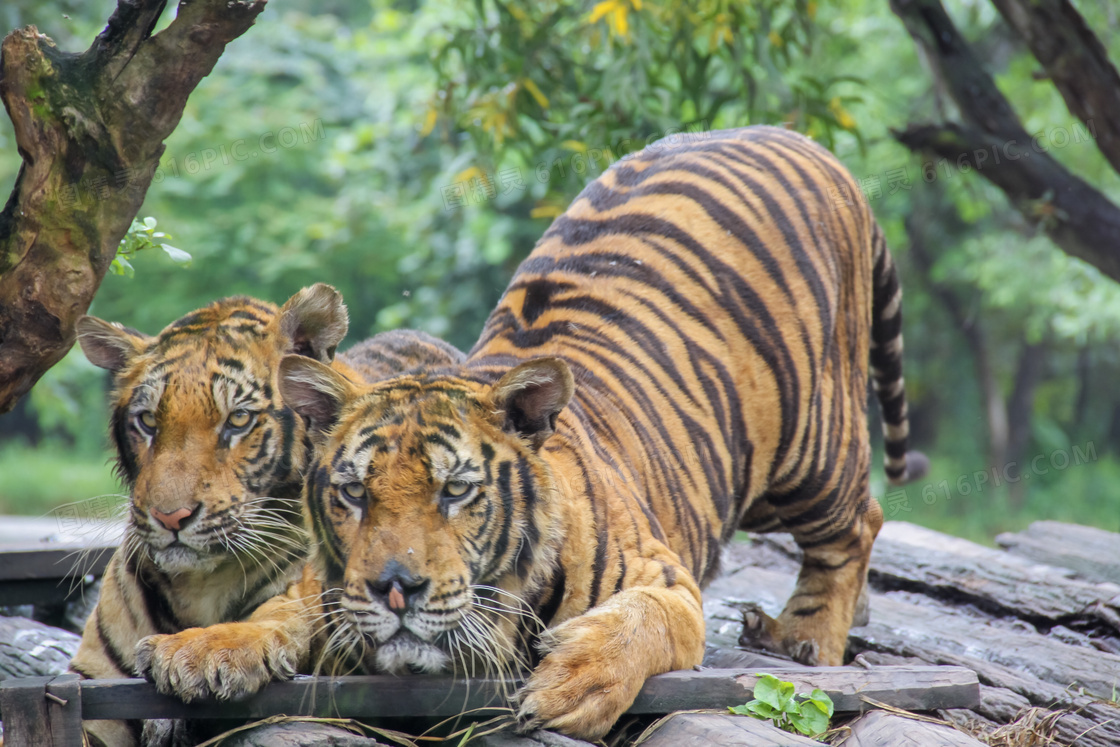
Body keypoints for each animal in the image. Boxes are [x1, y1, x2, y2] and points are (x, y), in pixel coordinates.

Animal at [70, 286, 463, 747]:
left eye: (238, 420)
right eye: (148, 421)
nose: (171, 518)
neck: (197, 585)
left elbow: (269, 619)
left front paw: (197, 654)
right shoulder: (94, 687)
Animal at [133, 125, 927, 739]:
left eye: (456, 492)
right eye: (354, 494)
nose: (396, 589)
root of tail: (793, 137)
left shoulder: (668, 583)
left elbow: (638, 622)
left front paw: (571, 686)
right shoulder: (325, 586)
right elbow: (280, 610)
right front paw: (201, 650)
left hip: (809, 450)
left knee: (857, 522)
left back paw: (805, 637)